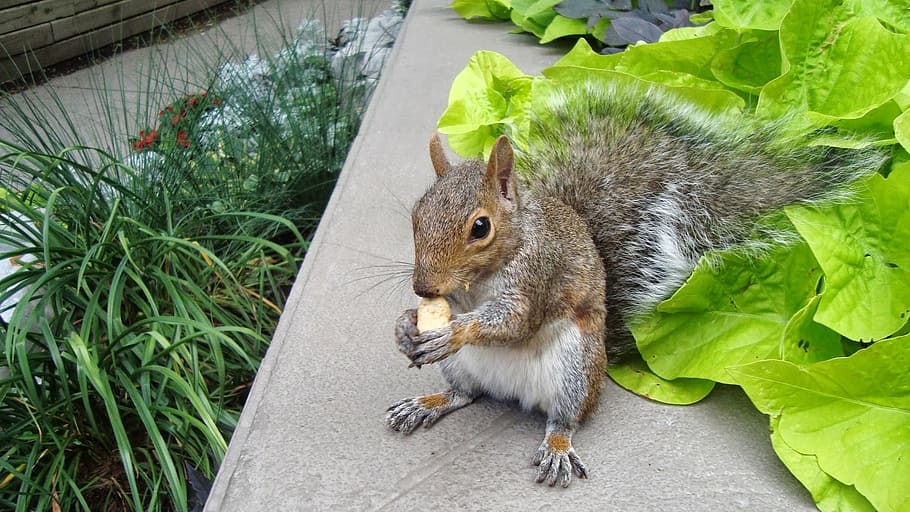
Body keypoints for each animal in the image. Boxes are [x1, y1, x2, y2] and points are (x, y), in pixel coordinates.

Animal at [385, 79, 884, 487]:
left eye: (480, 227)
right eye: (417, 214)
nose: (424, 287)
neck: (482, 278)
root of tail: (511, 393)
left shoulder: (540, 275)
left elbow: (513, 322)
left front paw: (453, 329)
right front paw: (406, 324)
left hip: (573, 368)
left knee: (564, 418)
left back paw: (557, 446)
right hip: (465, 369)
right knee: (464, 393)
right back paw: (428, 402)